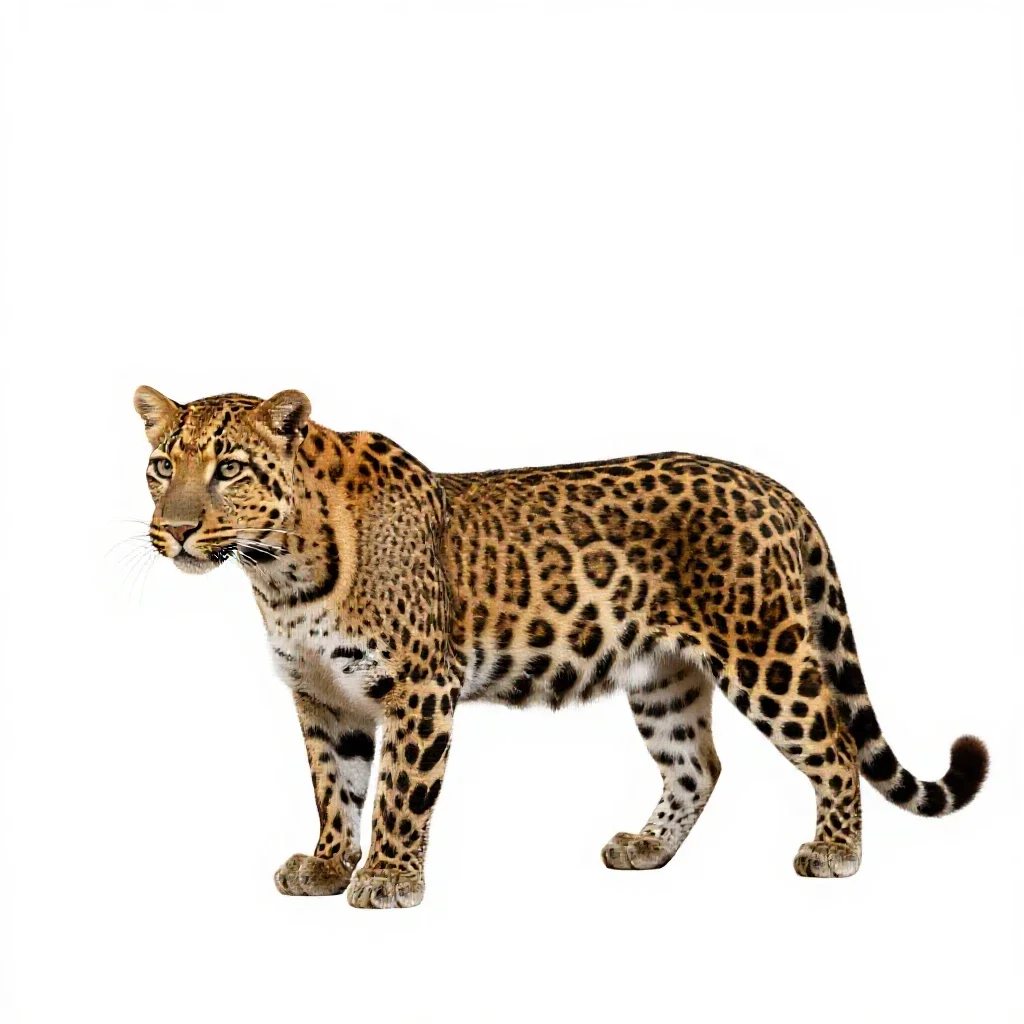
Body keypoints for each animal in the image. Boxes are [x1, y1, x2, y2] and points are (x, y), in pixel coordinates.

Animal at [133, 386, 989, 908]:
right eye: (161, 466)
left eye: (230, 468)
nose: (172, 531)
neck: (278, 571)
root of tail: (773, 489)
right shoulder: (320, 697)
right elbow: (333, 789)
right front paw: (326, 864)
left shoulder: (419, 689)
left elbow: (402, 793)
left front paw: (388, 879)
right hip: (662, 676)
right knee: (699, 765)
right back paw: (647, 849)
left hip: (765, 650)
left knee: (835, 742)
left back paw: (835, 852)